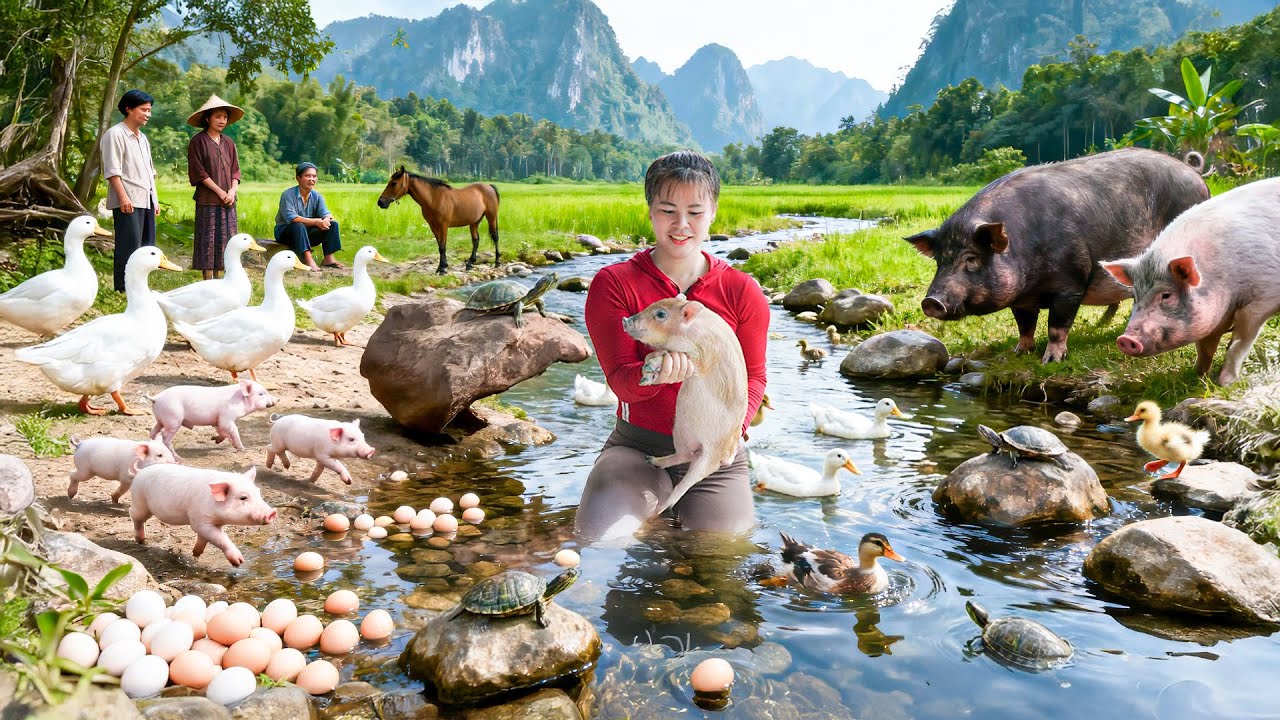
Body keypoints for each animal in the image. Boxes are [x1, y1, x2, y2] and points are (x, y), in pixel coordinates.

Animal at [129, 464, 276, 566]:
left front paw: (196, 553)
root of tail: (140, 472)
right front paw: (239, 562)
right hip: (141, 502)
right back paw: (141, 540)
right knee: (133, 513)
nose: (272, 512)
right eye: (243, 497)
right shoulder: (200, 520)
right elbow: (220, 538)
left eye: (258, 492)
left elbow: (204, 538)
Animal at [622, 296, 747, 516]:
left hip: (704, 457)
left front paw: (651, 369)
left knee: (682, 485)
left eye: (661, 314)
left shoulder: (704, 356)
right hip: (681, 429)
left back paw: (659, 509)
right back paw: (650, 460)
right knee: (684, 454)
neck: (691, 334)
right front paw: (646, 375)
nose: (625, 319)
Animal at [905, 148, 1209, 363]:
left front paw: (1051, 360)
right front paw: (1018, 353)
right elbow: (1025, 325)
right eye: (940, 260)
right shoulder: (1021, 298)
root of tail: (1193, 172)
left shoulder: (1071, 284)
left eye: (971, 259)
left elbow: (1057, 326)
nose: (931, 301)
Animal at [1100, 177, 1280, 385]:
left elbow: (1239, 344)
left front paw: (1224, 383)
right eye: (1135, 297)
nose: (1125, 339)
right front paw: (1197, 375)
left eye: (1166, 295)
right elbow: (1204, 346)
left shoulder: (1261, 300)